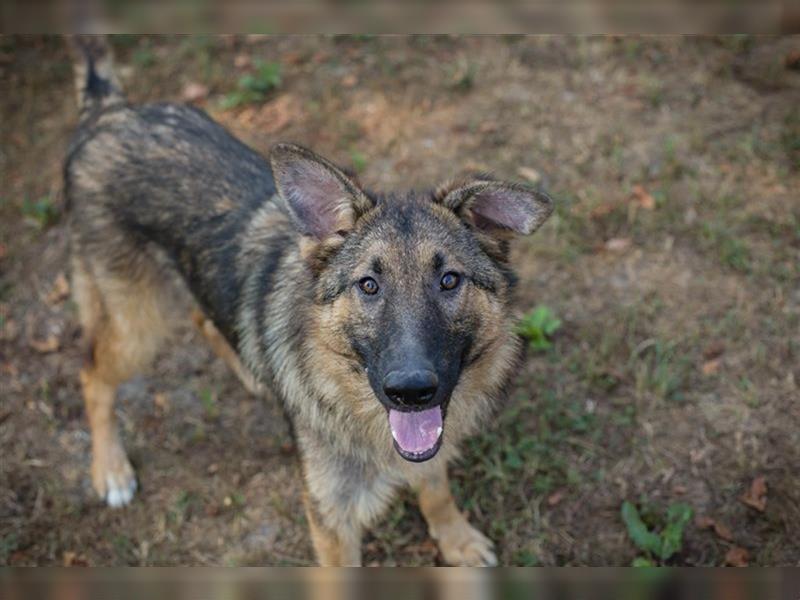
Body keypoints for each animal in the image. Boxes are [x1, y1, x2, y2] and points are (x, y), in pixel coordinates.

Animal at [65, 38, 552, 568]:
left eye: (449, 280)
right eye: (368, 285)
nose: (411, 391)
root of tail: (111, 112)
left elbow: (435, 486)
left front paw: (455, 538)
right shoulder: (331, 516)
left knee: (202, 317)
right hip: (136, 323)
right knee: (91, 373)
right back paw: (110, 469)